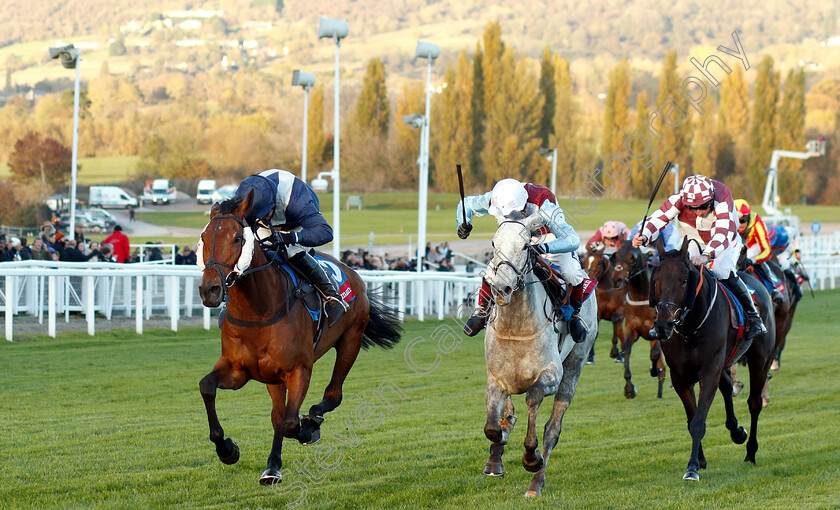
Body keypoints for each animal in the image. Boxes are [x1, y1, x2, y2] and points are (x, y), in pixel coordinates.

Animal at [197, 192, 400, 486]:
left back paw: (313, 419)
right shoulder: (238, 370)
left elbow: (292, 423)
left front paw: (308, 430)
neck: (258, 310)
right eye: (203, 237)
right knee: (277, 415)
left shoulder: (299, 369)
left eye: (237, 238)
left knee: (332, 394)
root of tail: (351, 270)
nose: (210, 289)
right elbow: (207, 387)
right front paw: (227, 449)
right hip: (272, 377)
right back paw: (272, 467)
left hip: (351, 340)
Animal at [480, 216, 596, 498]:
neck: (517, 327)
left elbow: (533, 399)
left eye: (524, 246)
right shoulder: (496, 379)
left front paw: (531, 458)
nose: (501, 288)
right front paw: (496, 457)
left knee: (552, 430)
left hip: (573, 369)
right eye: (493, 243)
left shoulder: (551, 375)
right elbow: (494, 427)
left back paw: (536, 484)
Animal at [608, 242, 668, 398]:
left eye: (633, 257)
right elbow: (626, 349)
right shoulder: (632, 329)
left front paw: (655, 370)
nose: (616, 279)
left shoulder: (657, 331)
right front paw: (629, 388)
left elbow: (655, 354)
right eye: (616, 255)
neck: (641, 297)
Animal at [648, 237, 776, 480]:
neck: (690, 328)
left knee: (754, 403)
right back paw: (736, 431)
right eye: (656, 279)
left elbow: (699, 421)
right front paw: (699, 460)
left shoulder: (708, 372)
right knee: (726, 385)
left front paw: (691, 469)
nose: (662, 326)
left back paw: (750, 452)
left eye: (684, 280)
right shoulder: (681, 377)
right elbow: (691, 419)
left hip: (760, 360)